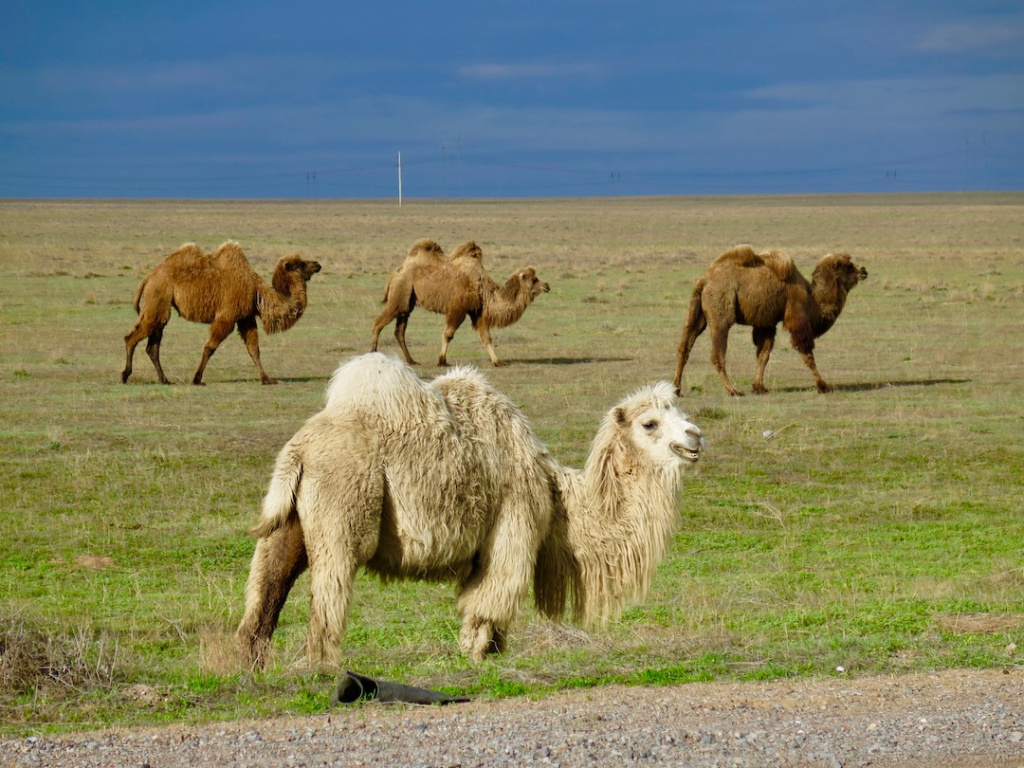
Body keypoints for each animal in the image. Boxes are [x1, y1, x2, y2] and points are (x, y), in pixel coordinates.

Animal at [125, 240, 321, 385]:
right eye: (301, 264)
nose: (317, 264)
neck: (257, 291)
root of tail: (148, 277)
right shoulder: (228, 315)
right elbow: (210, 347)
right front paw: (197, 379)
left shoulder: (246, 317)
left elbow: (254, 349)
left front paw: (266, 379)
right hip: (158, 296)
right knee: (133, 336)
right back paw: (125, 375)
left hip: (160, 304)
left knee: (153, 344)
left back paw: (164, 380)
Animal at [366, 239, 544, 368]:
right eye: (534, 279)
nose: (547, 286)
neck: (483, 287)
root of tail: (397, 271)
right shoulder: (459, 307)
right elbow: (448, 334)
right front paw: (442, 361)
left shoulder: (478, 312)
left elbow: (486, 337)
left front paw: (497, 361)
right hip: (400, 292)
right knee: (379, 323)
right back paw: (373, 353)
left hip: (408, 301)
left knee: (399, 330)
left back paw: (412, 361)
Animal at [675, 247, 868, 397]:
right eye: (848, 266)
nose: (864, 270)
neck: (812, 299)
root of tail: (704, 280)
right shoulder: (796, 313)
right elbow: (807, 353)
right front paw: (823, 386)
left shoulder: (766, 323)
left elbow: (763, 355)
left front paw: (759, 387)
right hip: (720, 312)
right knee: (717, 354)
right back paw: (733, 390)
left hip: (696, 312)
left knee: (684, 347)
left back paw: (677, 389)